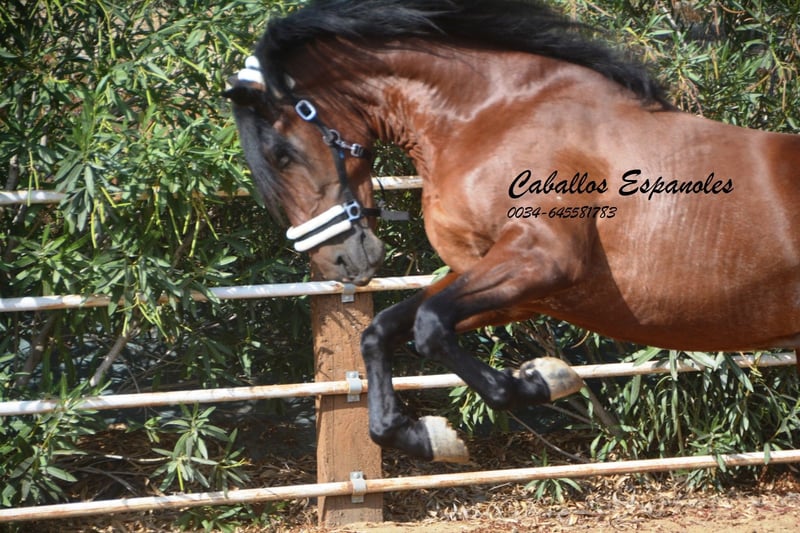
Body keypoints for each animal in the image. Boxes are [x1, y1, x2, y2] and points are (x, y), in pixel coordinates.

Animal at [224, 0, 800, 463]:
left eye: (280, 153)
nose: (340, 262)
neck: (491, 117)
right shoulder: (518, 288)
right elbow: (383, 330)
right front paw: (425, 438)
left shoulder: (542, 261)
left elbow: (429, 329)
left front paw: (539, 382)